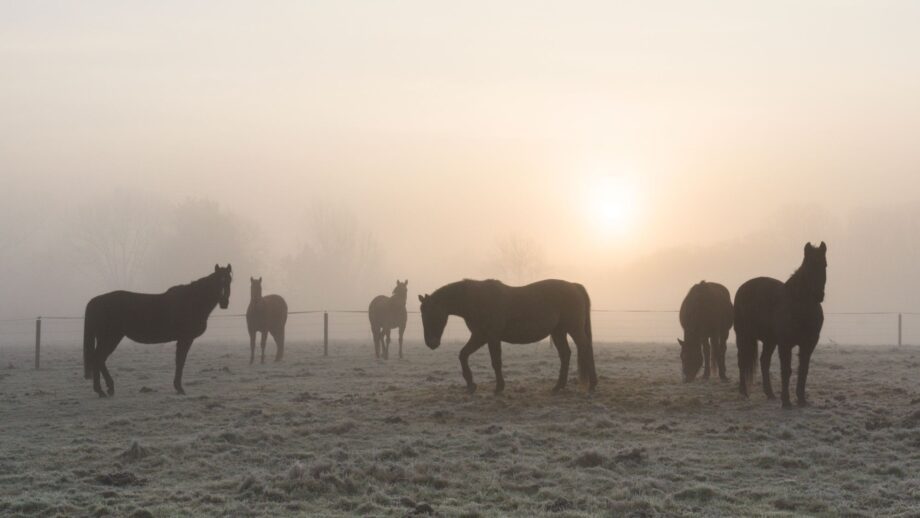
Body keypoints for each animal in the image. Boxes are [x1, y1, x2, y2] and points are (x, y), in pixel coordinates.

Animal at [83, 264, 233, 397]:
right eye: (218, 281)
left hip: (110, 337)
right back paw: (101, 391)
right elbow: (180, 362)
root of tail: (96, 301)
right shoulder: (185, 339)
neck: (191, 302)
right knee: (98, 358)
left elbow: (179, 362)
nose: (224, 302)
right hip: (110, 337)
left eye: (230, 280)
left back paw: (108, 389)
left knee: (99, 359)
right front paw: (179, 388)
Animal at [418, 279, 596, 394]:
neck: (477, 300)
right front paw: (471, 384)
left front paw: (499, 388)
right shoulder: (480, 336)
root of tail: (574, 286)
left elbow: (496, 362)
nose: (431, 343)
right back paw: (559, 386)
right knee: (565, 354)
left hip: (573, 329)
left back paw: (592, 385)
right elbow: (463, 355)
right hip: (558, 331)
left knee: (585, 348)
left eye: (431, 314)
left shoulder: (492, 337)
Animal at [735, 242, 827, 408]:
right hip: (743, 336)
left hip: (769, 341)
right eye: (808, 266)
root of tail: (742, 288)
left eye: (824, 265)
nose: (819, 295)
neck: (800, 308)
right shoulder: (785, 344)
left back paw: (770, 394)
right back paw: (744, 391)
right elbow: (786, 370)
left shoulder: (809, 343)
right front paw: (786, 402)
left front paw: (801, 400)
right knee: (742, 361)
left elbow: (803, 370)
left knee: (764, 361)